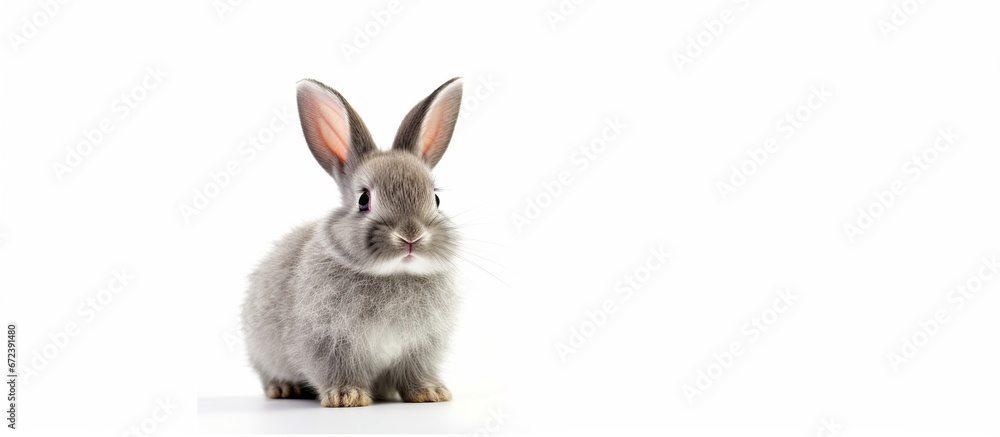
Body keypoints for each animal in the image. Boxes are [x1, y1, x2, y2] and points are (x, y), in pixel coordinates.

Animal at [241, 77, 464, 407]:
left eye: (436, 199)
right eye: (363, 200)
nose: (410, 235)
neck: (393, 274)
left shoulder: (420, 348)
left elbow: (415, 372)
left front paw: (430, 393)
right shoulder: (328, 342)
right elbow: (336, 370)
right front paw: (346, 397)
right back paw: (284, 388)